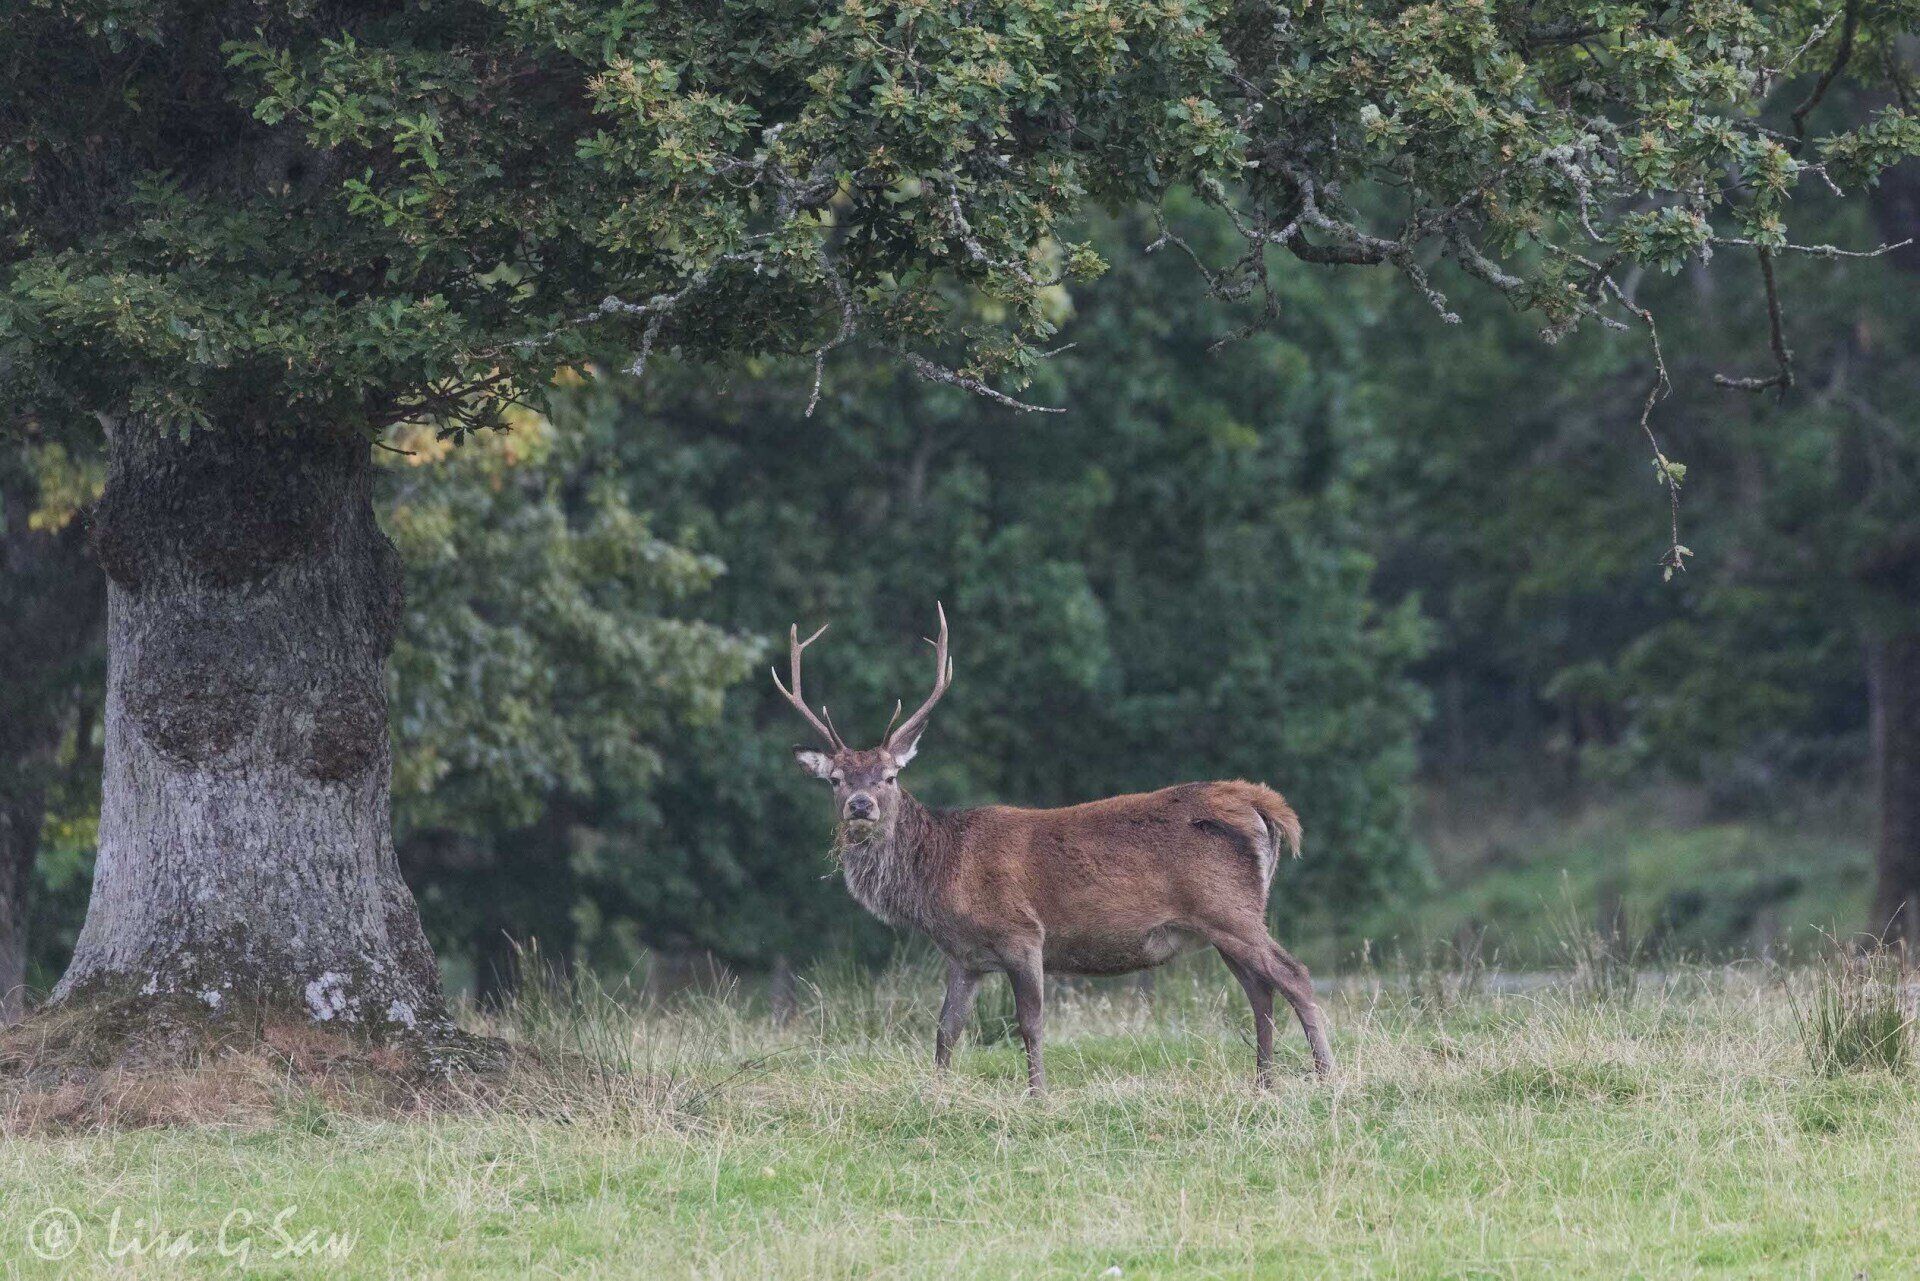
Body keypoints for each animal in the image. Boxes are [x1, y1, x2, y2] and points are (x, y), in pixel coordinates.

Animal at [773, 605, 1334, 1094]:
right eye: (836, 780)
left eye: (890, 776)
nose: (861, 805)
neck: (941, 876)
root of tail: (1260, 803)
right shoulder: (965, 956)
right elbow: (946, 1030)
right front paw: (936, 1093)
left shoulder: (1022, 933)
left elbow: (1030, 1024)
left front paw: (1037, 1095)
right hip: (1221, 923)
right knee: (1260, 992)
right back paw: (1263, 1084)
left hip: (1229, 908)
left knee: (1295, 976)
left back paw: (1328, 1078)